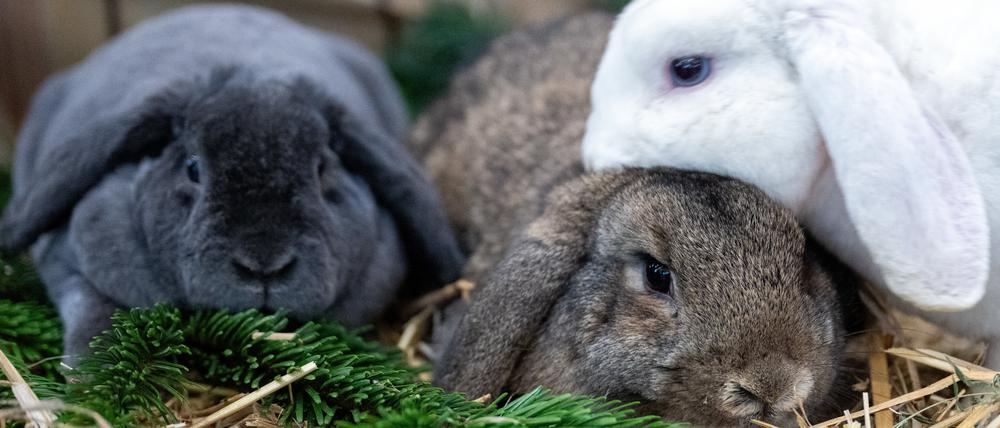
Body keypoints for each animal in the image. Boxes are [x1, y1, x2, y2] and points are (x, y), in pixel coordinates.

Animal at [0, 5, 463, 358]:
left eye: (321, 170)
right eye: (192, 168)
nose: (264, 265)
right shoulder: (71, 264)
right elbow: (96, 313)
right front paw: (88, 377)